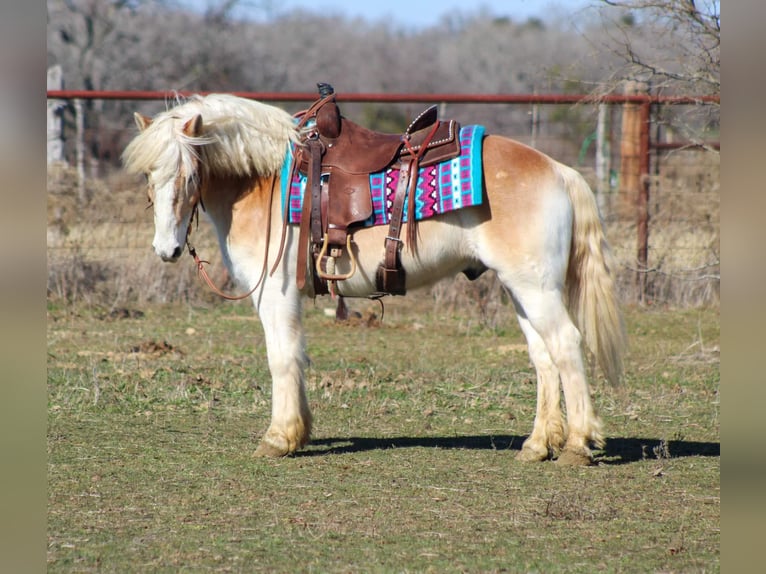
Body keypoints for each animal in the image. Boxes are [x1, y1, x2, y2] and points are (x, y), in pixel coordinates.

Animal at [123, 92, 628, 466]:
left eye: (189, 174)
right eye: (148, 176)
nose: (166, 249)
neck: (263, 181)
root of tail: (558, 171)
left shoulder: (274, 294)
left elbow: (281, 358)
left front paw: (278, 438)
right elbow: (298, 357)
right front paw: (299, 432)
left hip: (535, 290)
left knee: (566, 346)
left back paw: (578, 446)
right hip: (522, 292)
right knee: (544, 359)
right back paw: (538, 446)